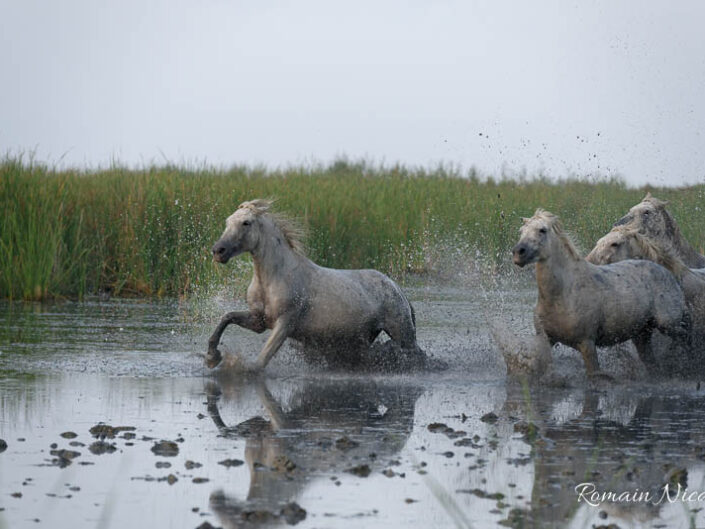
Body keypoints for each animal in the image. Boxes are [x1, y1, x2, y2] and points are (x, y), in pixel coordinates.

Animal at [206, 198, 426, 372]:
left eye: (246, 222)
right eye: (227, 222)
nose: (218, 251)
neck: (272, 279)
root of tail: (397, 289)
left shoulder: (285, 323)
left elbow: (259, 363)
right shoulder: (258, 321)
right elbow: (227, 317)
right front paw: (212, 356)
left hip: (402, 334)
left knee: (418, 355)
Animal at [512, 208, 688, 378]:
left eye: (542, 230)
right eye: (521, 231)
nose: (518, 252)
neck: (561, 296)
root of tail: (666, 272)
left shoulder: (587, 343)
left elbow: (594, 374)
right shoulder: (546, 340)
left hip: (668, 325)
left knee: (685, 336)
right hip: (641, 334)